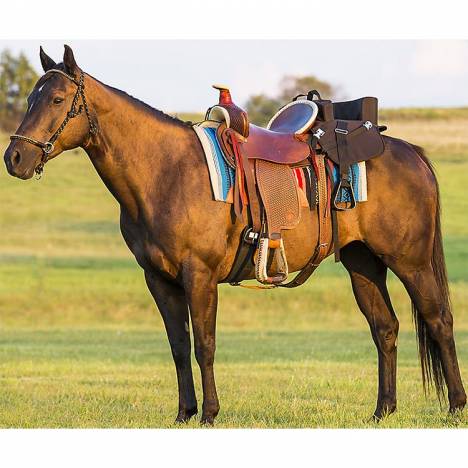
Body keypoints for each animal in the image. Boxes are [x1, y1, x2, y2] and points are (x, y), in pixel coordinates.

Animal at [2, 46, 464, 424]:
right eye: (29, 98)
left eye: (57, 99)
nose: (15, 157)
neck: (166, 171)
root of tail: (407, 151)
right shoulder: (159, 279)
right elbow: (178, 346)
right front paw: (184, 413)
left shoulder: (200, 275)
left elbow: (204, 344)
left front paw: (209, 413)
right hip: (363, 263)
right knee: (385, 328)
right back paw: (383, 411)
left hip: (411, 262)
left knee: (439, 320)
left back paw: (456, 406)